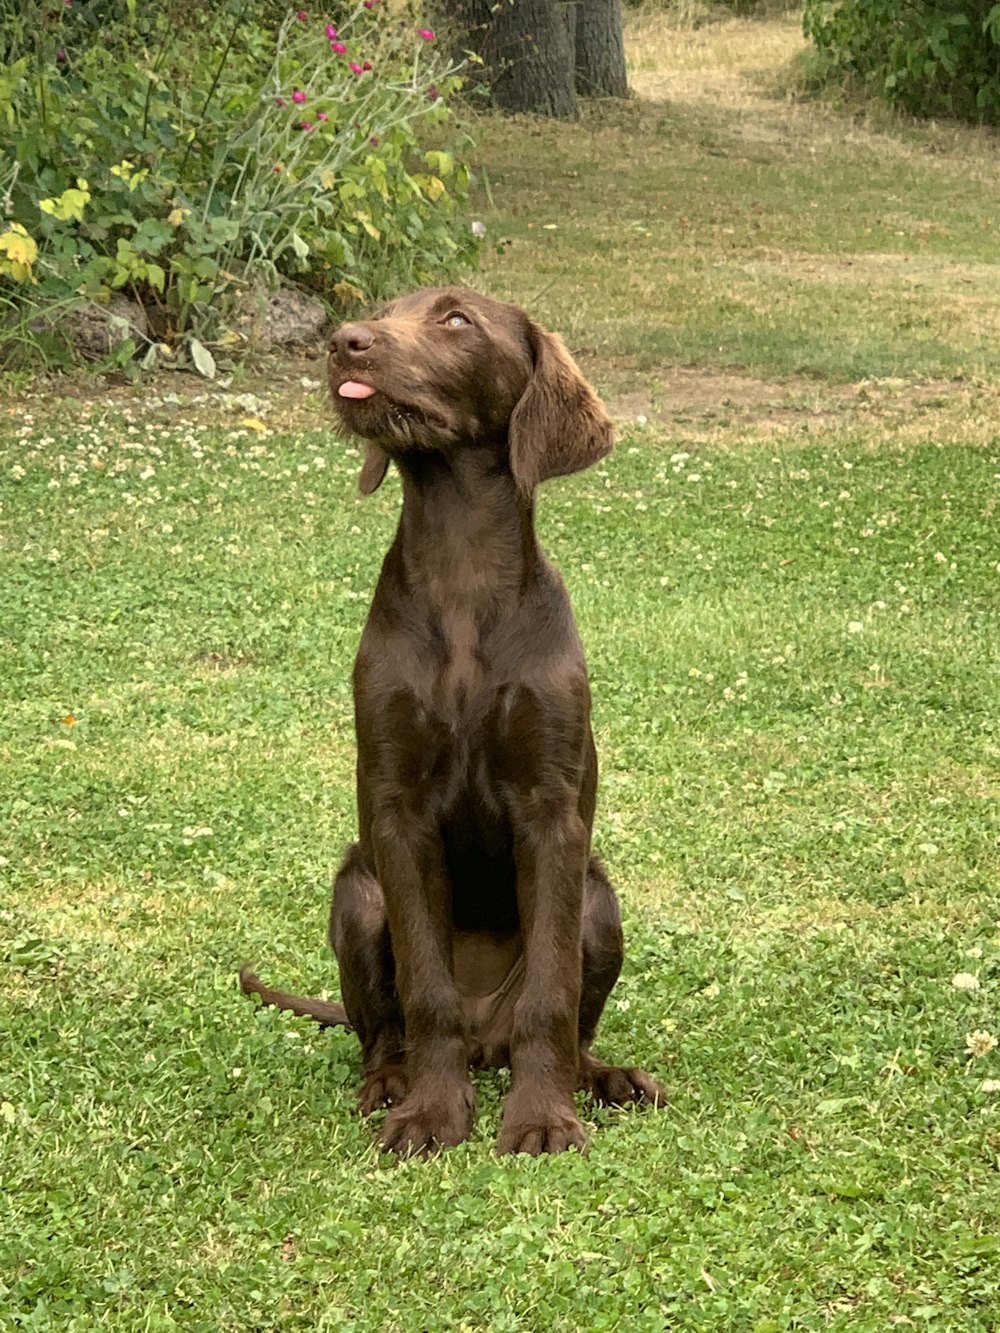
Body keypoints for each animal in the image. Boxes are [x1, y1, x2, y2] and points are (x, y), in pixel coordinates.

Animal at [240, 286, 666, 1151]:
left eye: (456, 320)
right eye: (379, 311)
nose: (344, 341)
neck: (463, 568)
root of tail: (483, 1038)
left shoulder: (551, 811)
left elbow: (550, 991)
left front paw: (543, 1116)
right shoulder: (397, 810)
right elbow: (426, 987)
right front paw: (433, 1112)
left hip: (599, 898)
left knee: (570, 1021)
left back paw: (603, 1076)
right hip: (357, 891)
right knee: (384, 1029)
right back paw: (391, 1081)